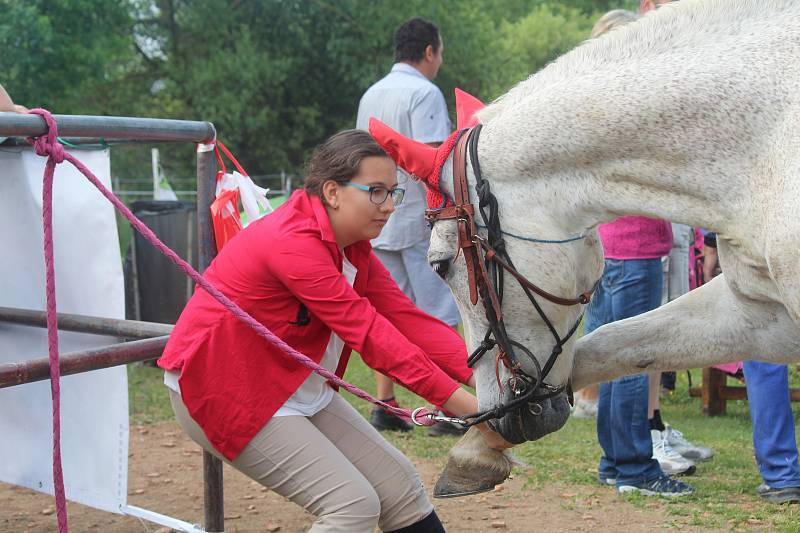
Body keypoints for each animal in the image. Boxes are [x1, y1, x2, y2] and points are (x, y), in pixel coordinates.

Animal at [372, 0, 800, 494]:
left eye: (441, 265)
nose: (505, 419)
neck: (764, 147)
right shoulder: (761, 313)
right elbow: (611, 344)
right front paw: (477, 449)